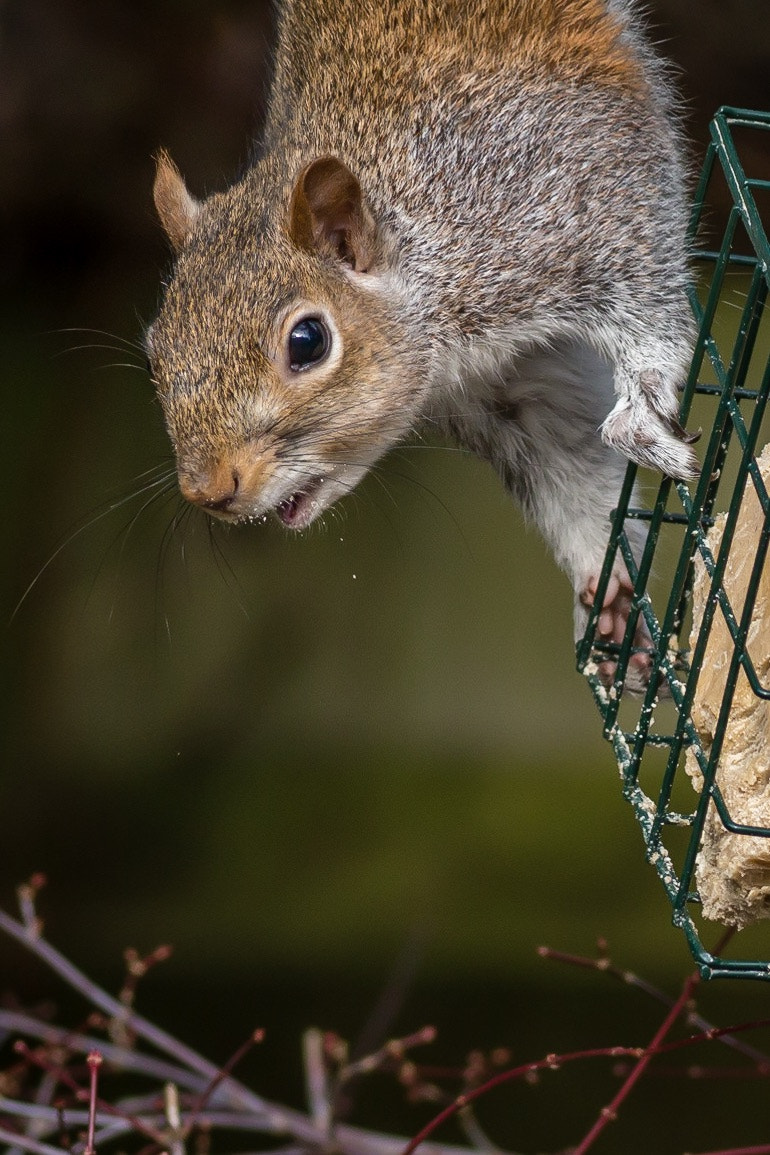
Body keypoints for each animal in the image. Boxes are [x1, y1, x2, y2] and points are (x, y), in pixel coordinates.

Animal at [146, 0, 706, 683]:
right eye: (155, 350)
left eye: (307, 341)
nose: (209, 492)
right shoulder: (509, 388)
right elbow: (567, 463)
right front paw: (607, 583)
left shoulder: (576, 209)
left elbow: (649, 304)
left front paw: (641, 418)